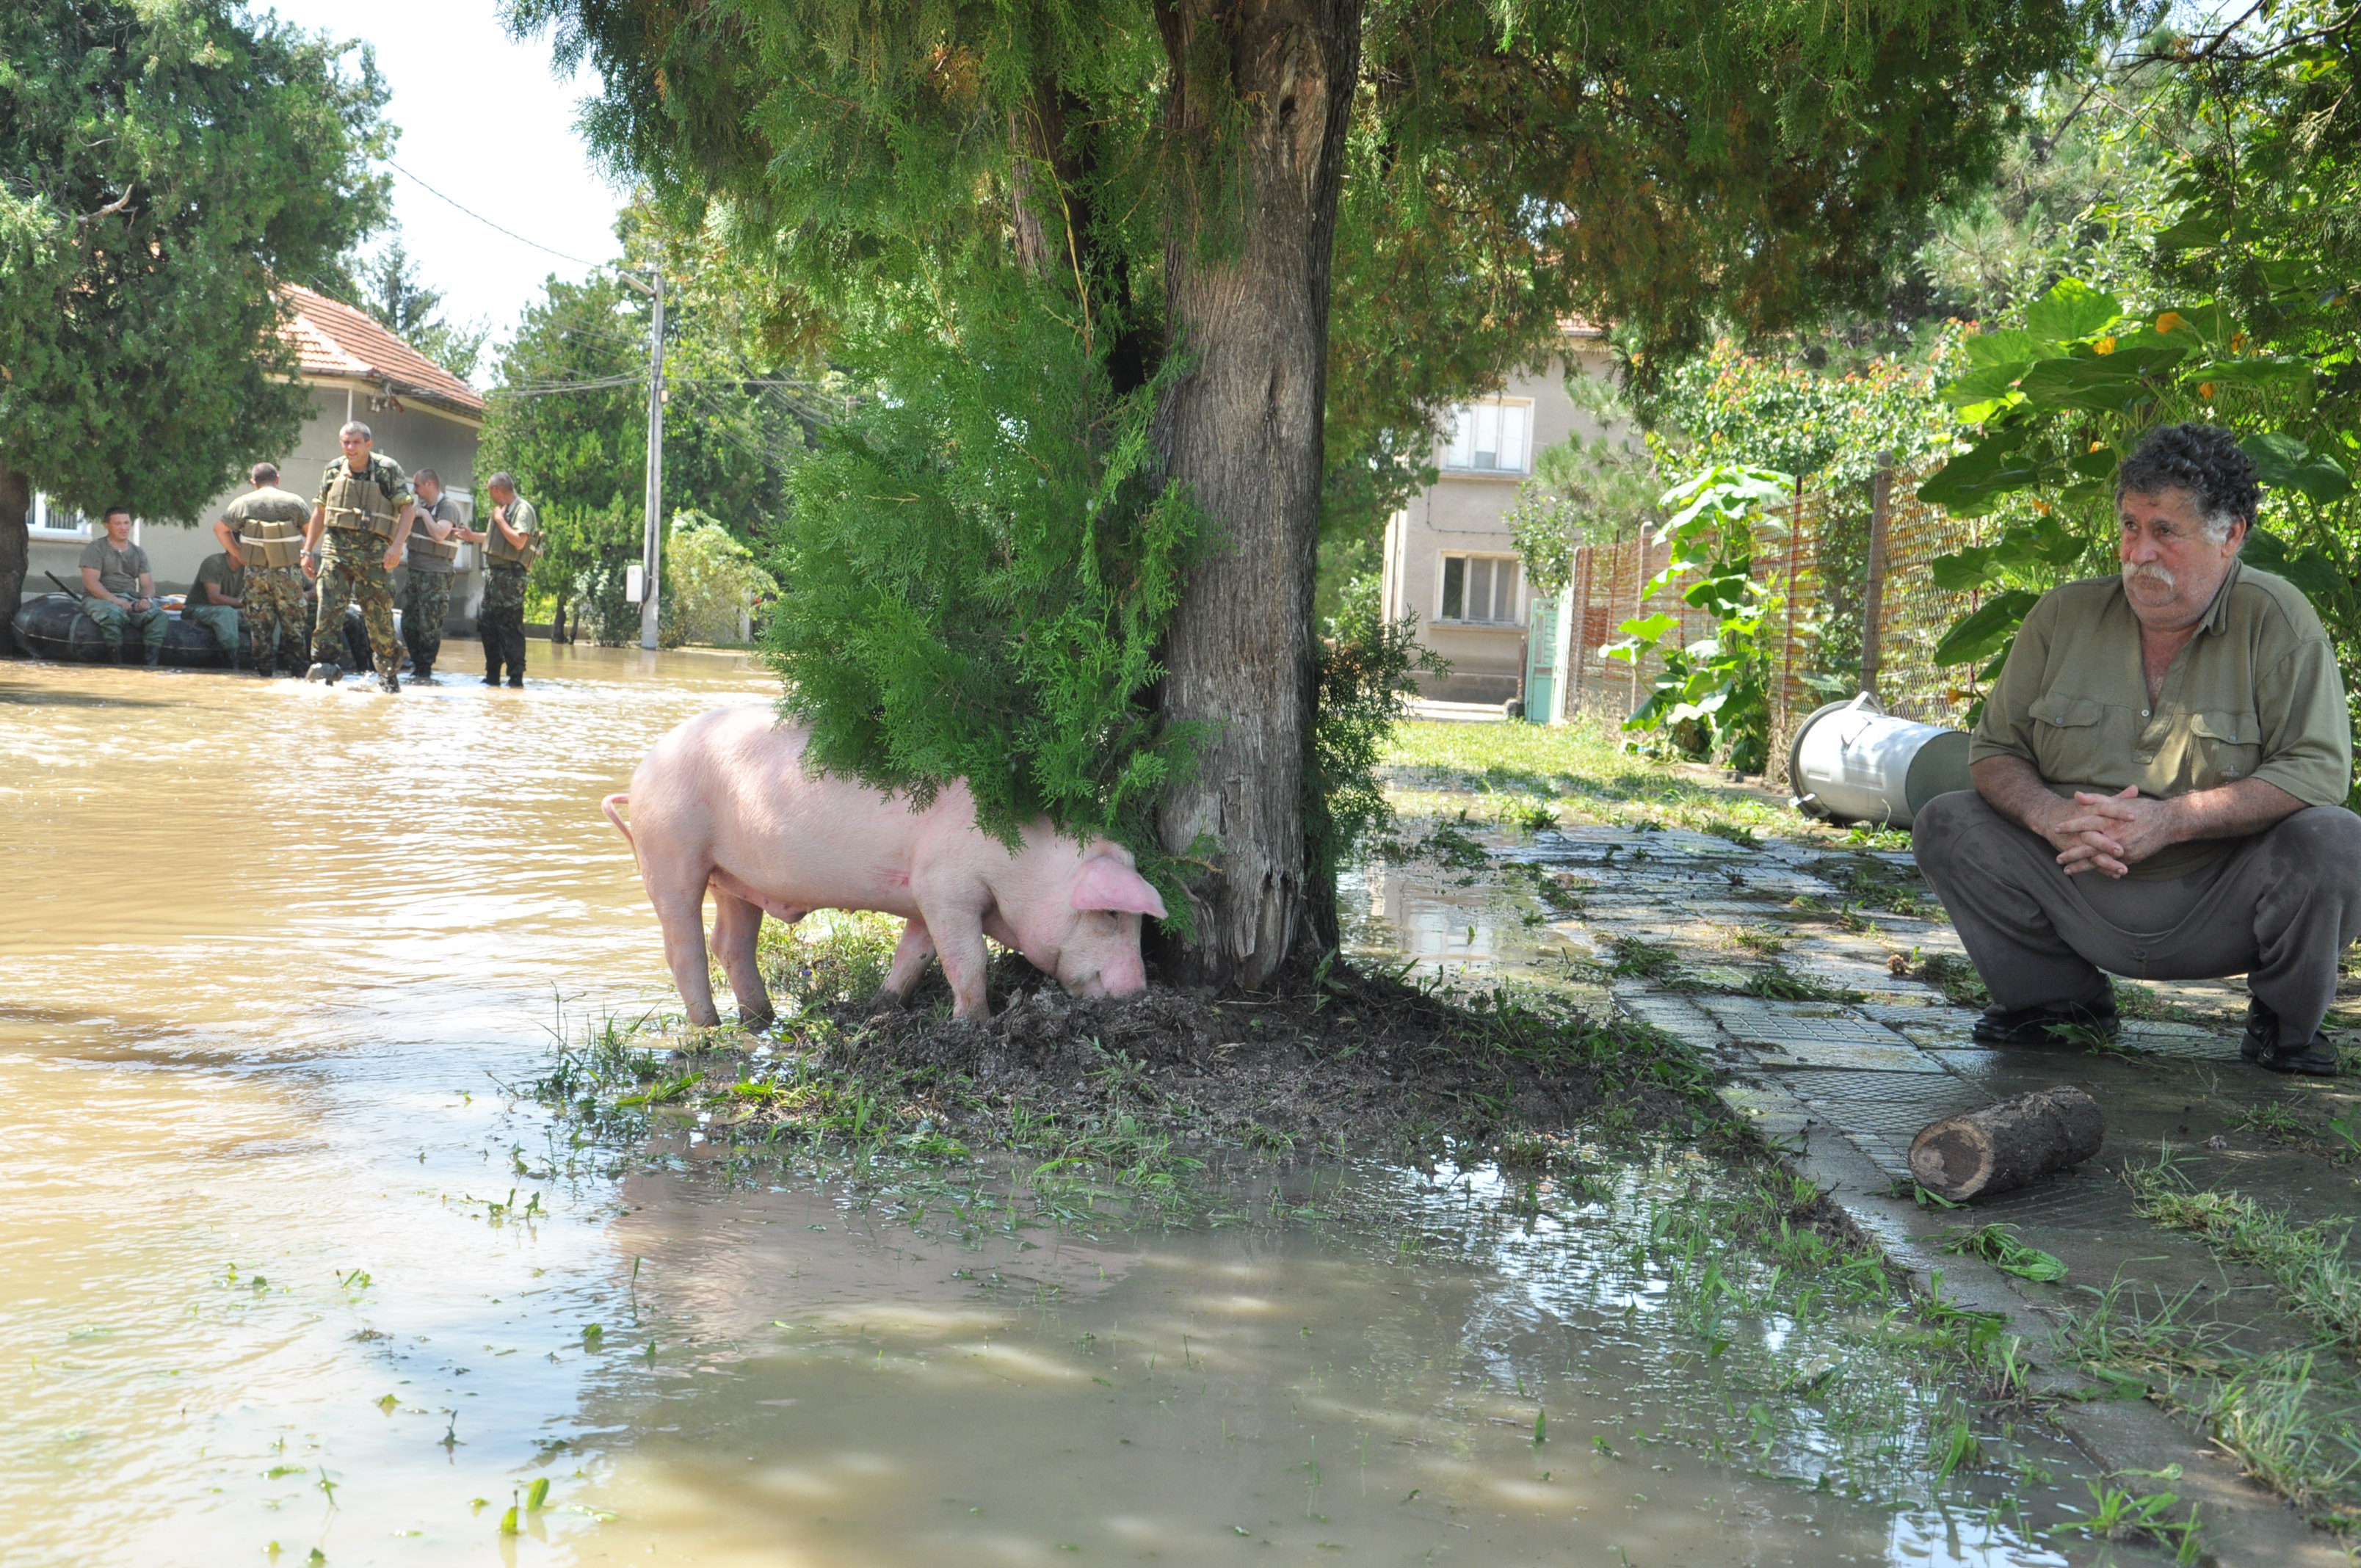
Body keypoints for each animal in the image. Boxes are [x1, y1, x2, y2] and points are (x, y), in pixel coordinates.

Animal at [604, 699, 1166, 1025]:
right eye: (1112, 914)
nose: (1140, 991)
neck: (1026, 865)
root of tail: (641, 773)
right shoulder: (945, 886)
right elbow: (967, 959)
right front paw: (974, 1025)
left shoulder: (921, 894)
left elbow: (914, 954)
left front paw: (881, 1007)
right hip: (670, 850)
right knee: (684, 945)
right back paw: (709, 1027)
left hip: (733, 878)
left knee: (730, 944)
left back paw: (761, 1019)